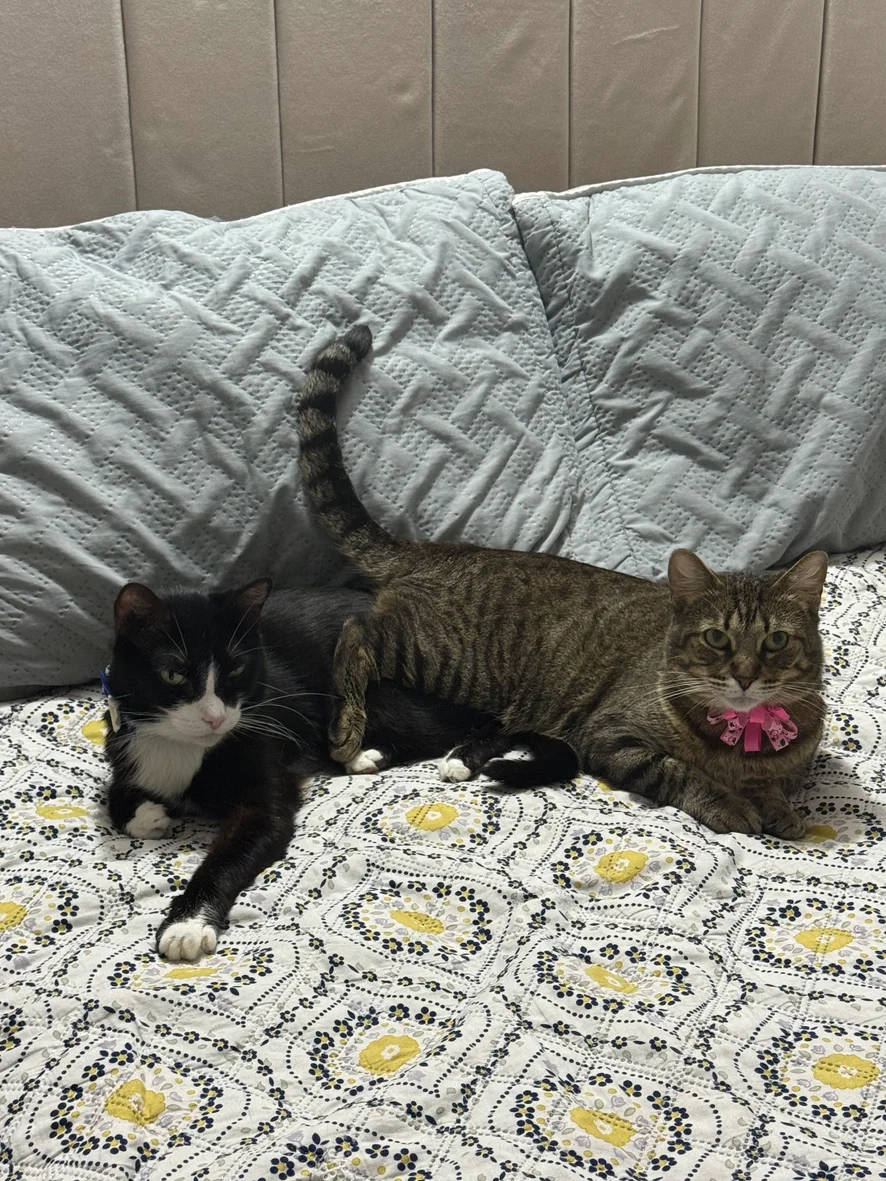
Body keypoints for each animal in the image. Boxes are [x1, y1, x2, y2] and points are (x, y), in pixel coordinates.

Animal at [104, 579, 576, 961]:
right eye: (173, 674)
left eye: (237, 668)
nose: (216, 718)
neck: (183, 746)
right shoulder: (122, 731)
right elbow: (117, 791)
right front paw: (145, 814)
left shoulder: (265, 774)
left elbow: (234, 850)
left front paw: (187, 924)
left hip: (380, 691)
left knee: (489, 722)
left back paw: (457, 755)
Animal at [296, 324, 828, 839]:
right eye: (716, 638)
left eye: (776, 641)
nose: (745, 675)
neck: (743, 733)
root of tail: (437, 549)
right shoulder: (611, 737)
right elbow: (678, 772)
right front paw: (728, 804)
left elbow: (776, 784)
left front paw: (780, 809)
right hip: (442, 655)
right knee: (357, 632)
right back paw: (348, 732)